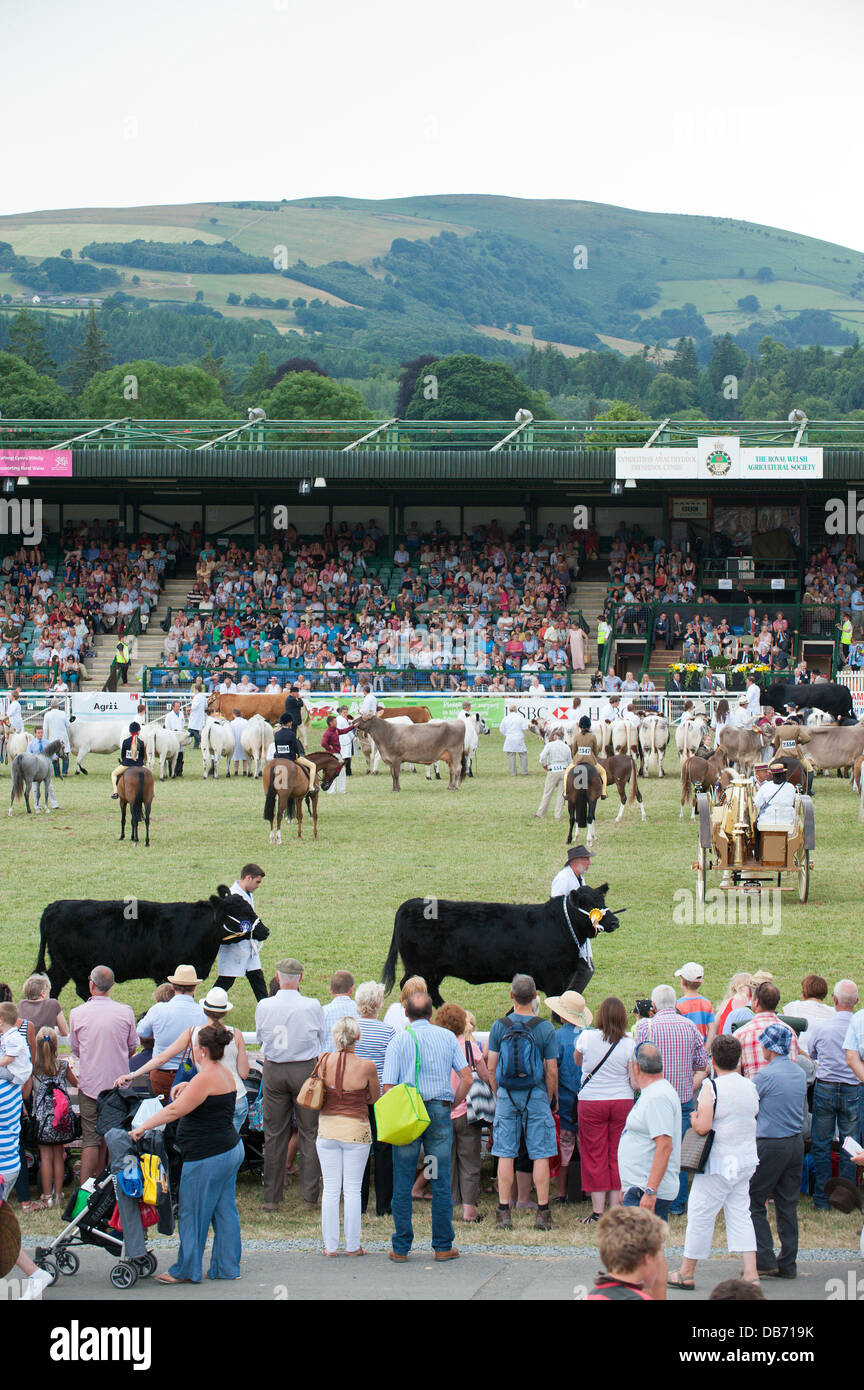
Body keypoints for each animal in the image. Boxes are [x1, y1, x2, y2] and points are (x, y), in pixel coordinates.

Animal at [34, 884, 270, 1006]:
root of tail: (54, 906)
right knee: (82, 990)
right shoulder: (166, 972)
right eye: (241, 912)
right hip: (76, 966)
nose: (265, 930)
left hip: (61, 964)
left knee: (53, 983)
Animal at [380, 884, 622, 1006]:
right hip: (420, 967)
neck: (559, 924)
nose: (614, 921)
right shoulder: (554, 977)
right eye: (590, 905)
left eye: (602, 901)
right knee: (409, 984)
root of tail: (412, 903)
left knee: (430, 989)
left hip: (434, 970)